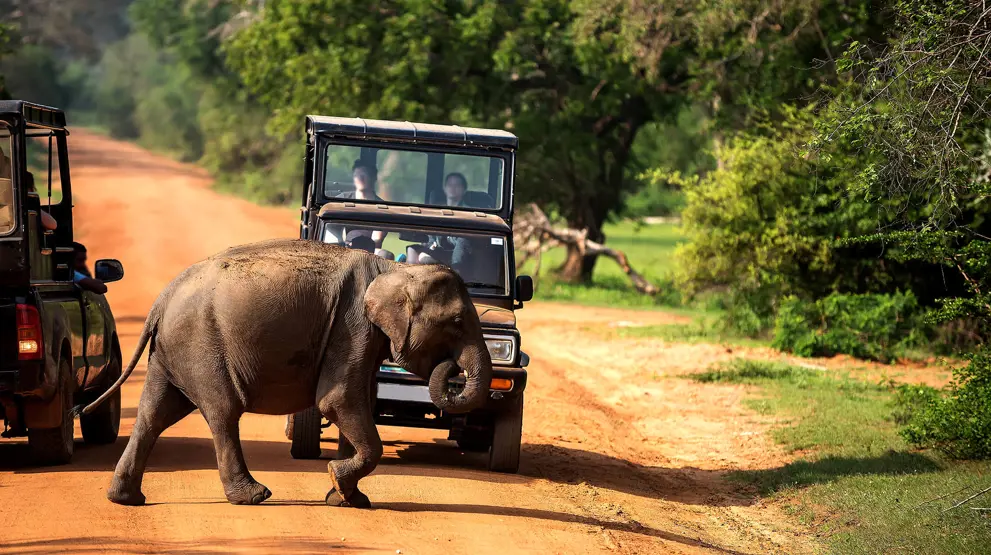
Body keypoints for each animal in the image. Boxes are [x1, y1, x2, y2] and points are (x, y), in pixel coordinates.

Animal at [83, 239, 494, 508]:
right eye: (457, 322)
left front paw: (347, 498)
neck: (396, 271)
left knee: (155, 413)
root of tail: (161, 299)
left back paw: (126, 499)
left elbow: (355, 401)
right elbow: (337, 400)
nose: (451, 366)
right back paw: (254, 496)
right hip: (200, 344)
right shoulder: (352, 327)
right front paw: (339, 485)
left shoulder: (362, 337)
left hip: (171, 351)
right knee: (222, 412)